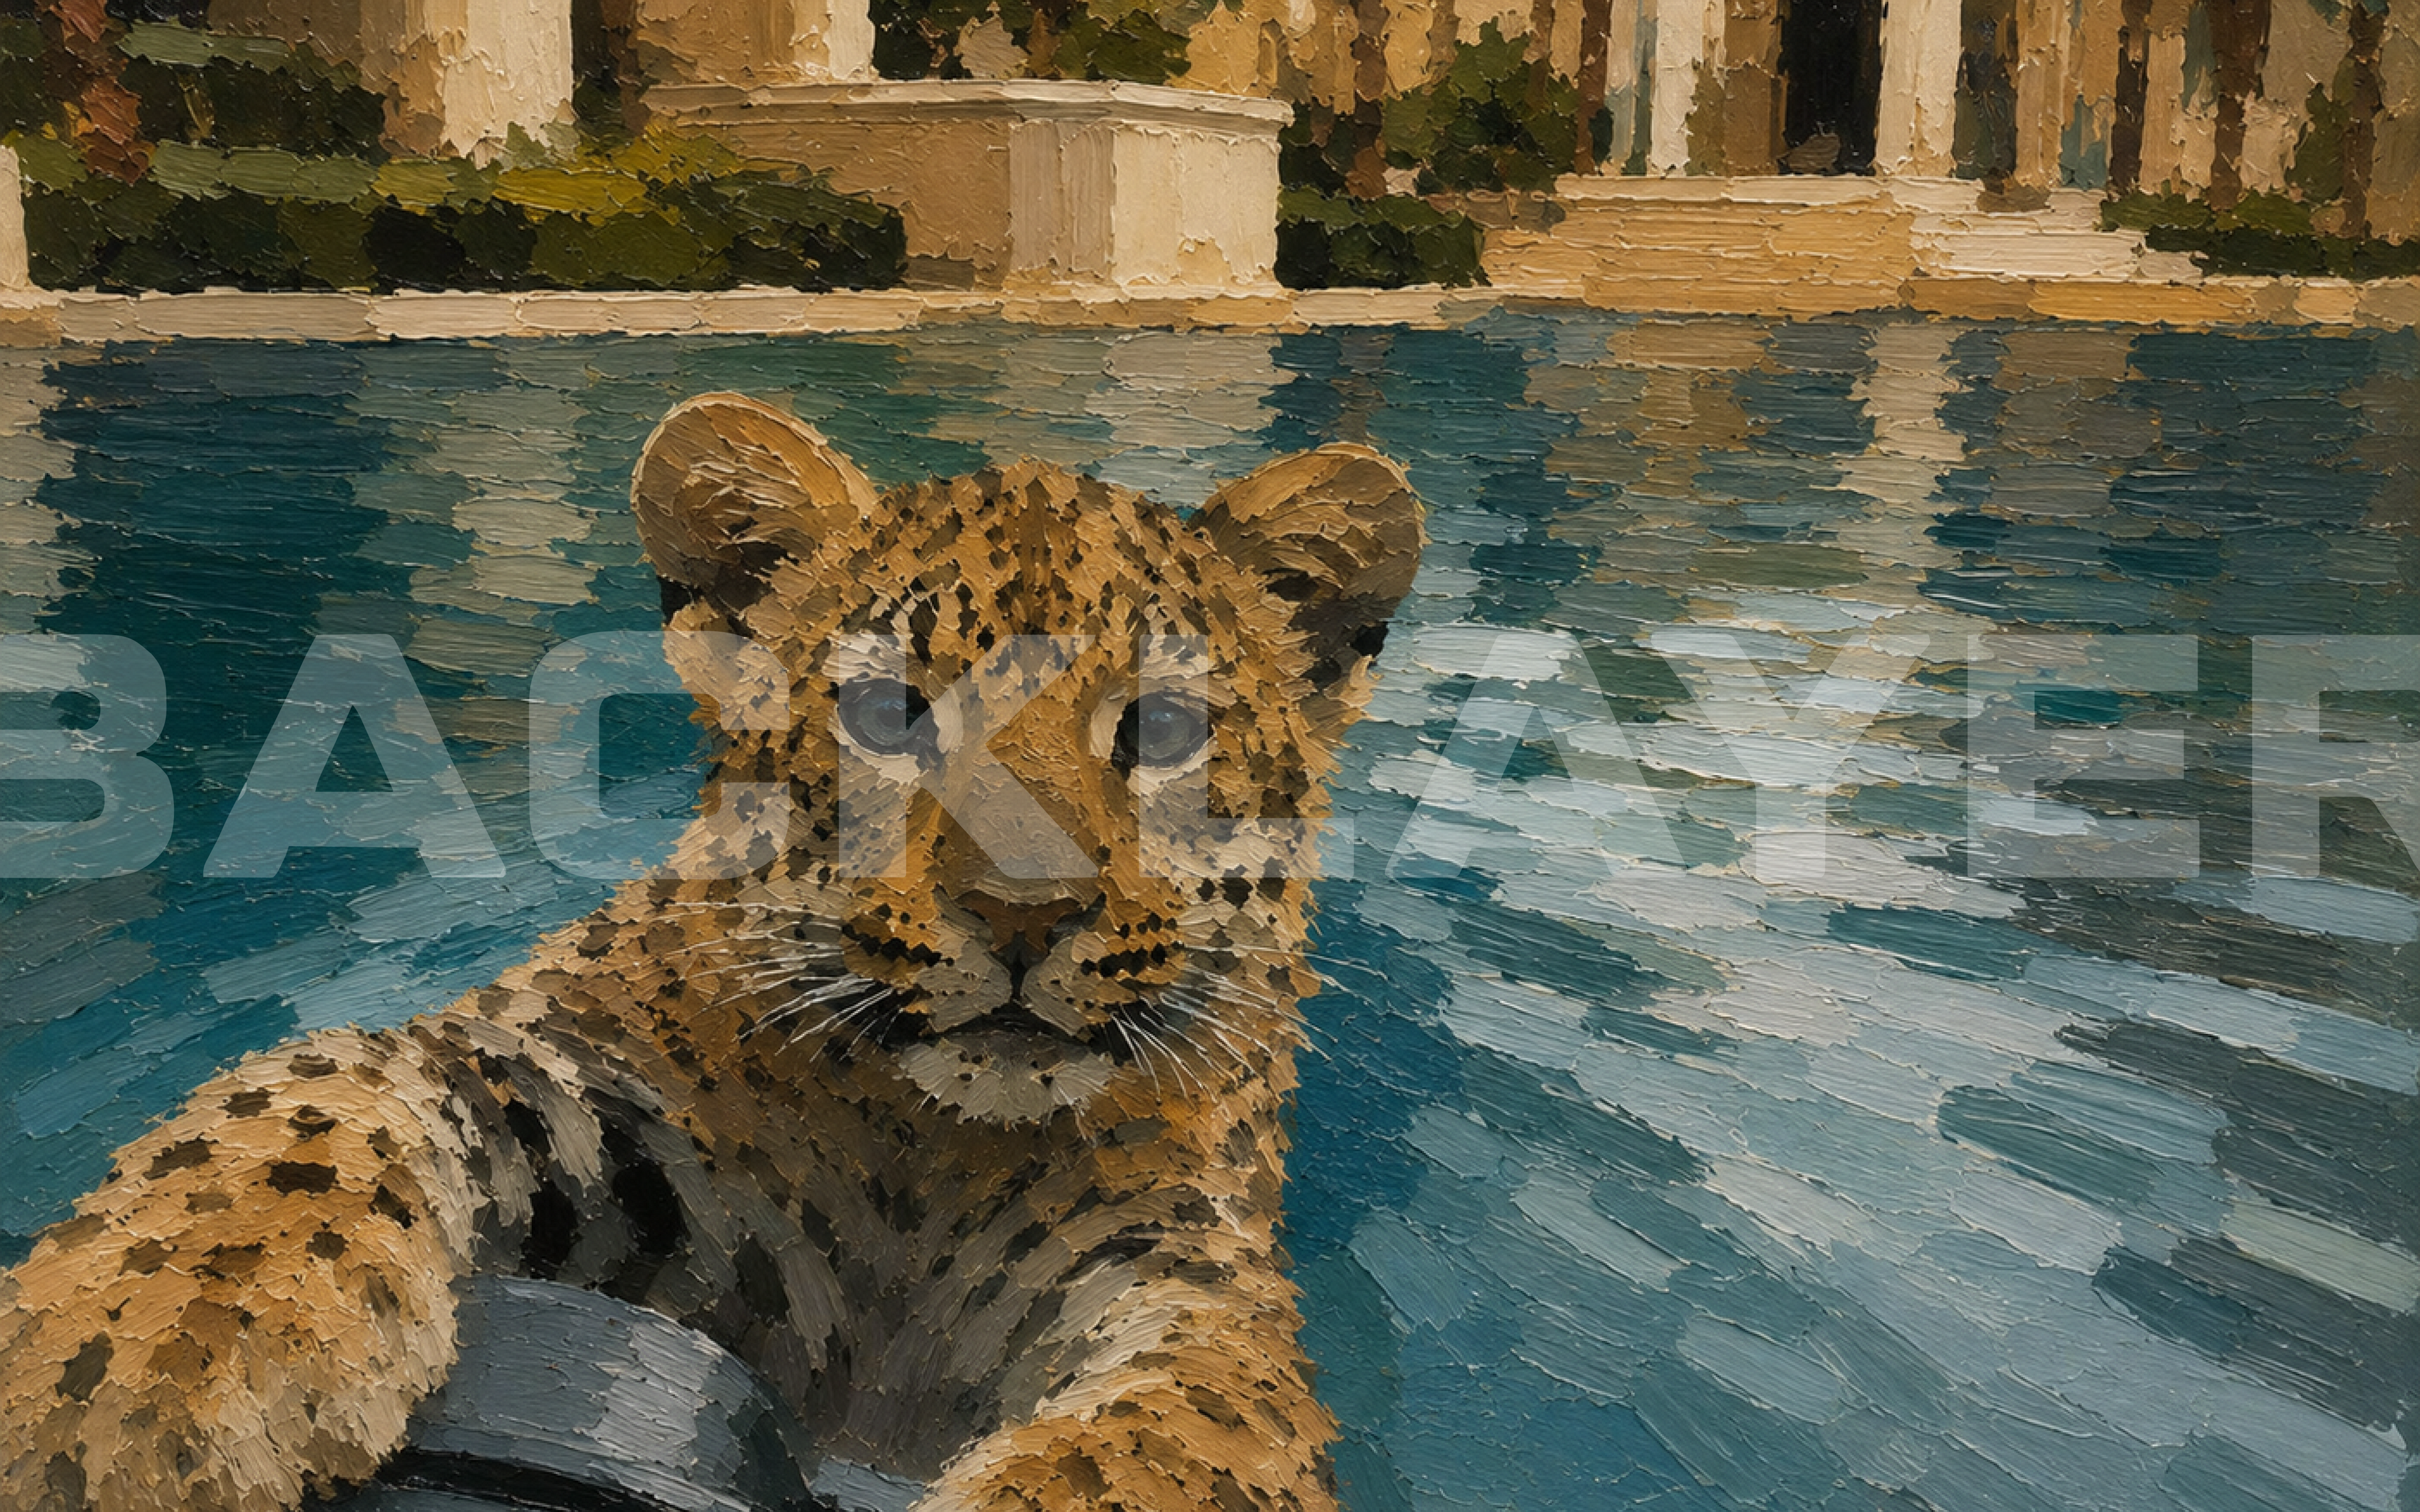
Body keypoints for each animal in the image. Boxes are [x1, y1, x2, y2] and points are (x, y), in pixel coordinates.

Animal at [0, 392, 1426, 1512]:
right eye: (885, 712)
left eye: (1165, 729)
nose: (1025, 909)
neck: (935, 1157)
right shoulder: (583, 1084)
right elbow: (307, 1099)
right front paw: (142, 1363)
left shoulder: (1192, 1276)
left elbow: (1180, 1436)